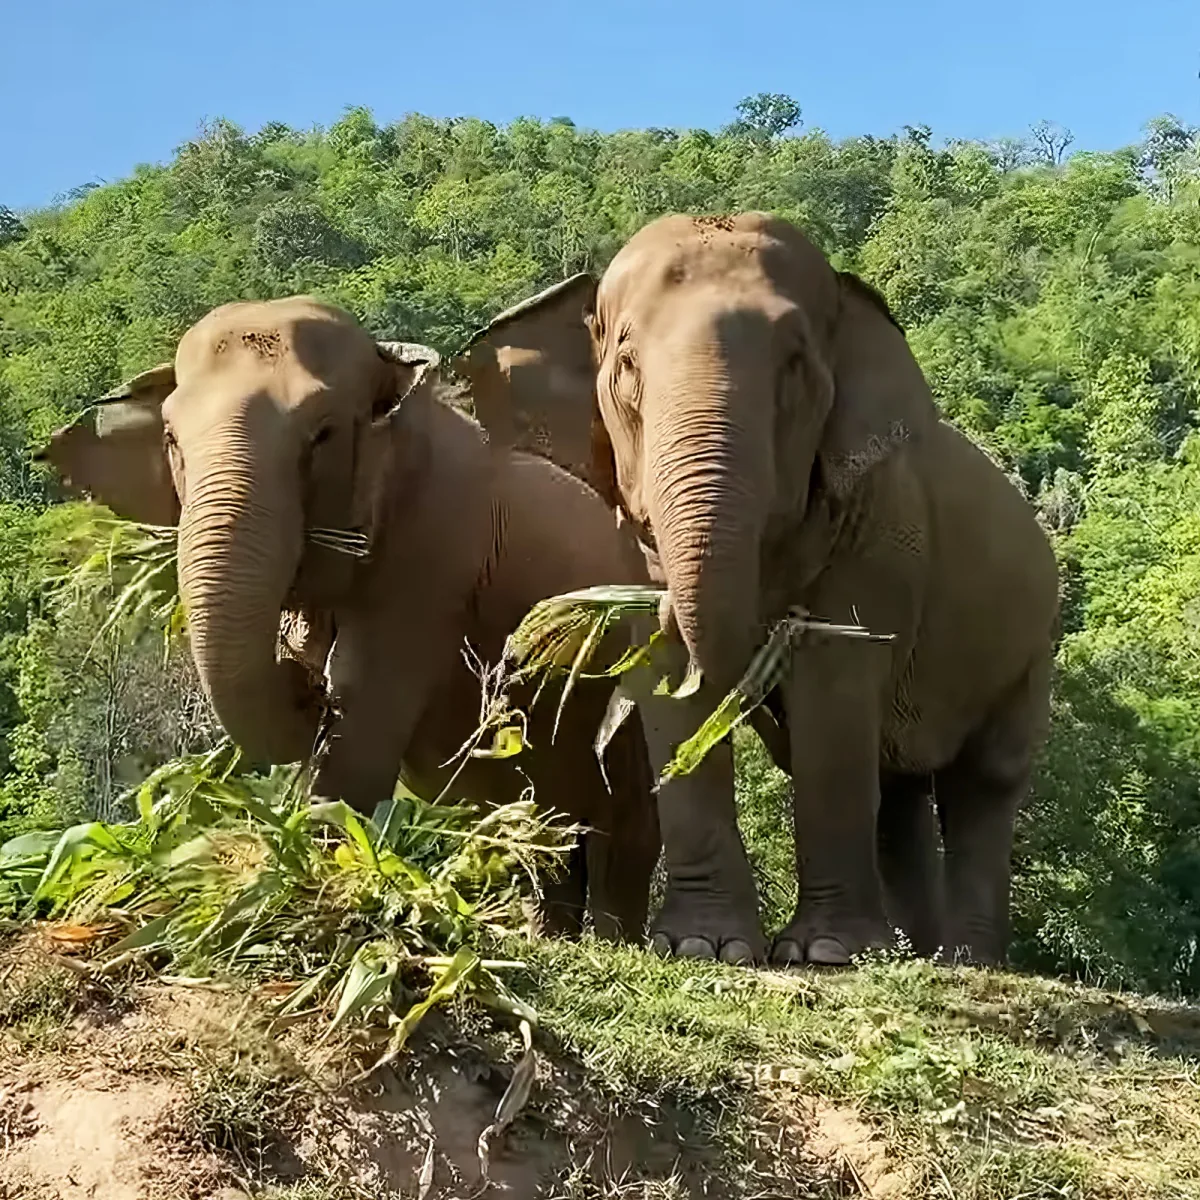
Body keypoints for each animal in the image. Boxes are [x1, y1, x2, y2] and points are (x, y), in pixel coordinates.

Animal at [36, 295, 661, 943]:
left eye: (324, 434)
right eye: (171, 439)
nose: (305, 686)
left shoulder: (432, 562)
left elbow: (363, 724)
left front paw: (316, 881)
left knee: (620, 815)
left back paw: (614, 940)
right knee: (541, 825)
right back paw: (548, 933)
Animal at [465, 212, 1060, 970]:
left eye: (796, 365)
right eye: (626, 365)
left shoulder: (876, 532)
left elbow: (834, 687)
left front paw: (825, 952)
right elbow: (665, 674)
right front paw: (704, 945)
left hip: (1031, 648)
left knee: (985, 781)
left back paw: (963, 960)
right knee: (898, 790)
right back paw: (917, 955)